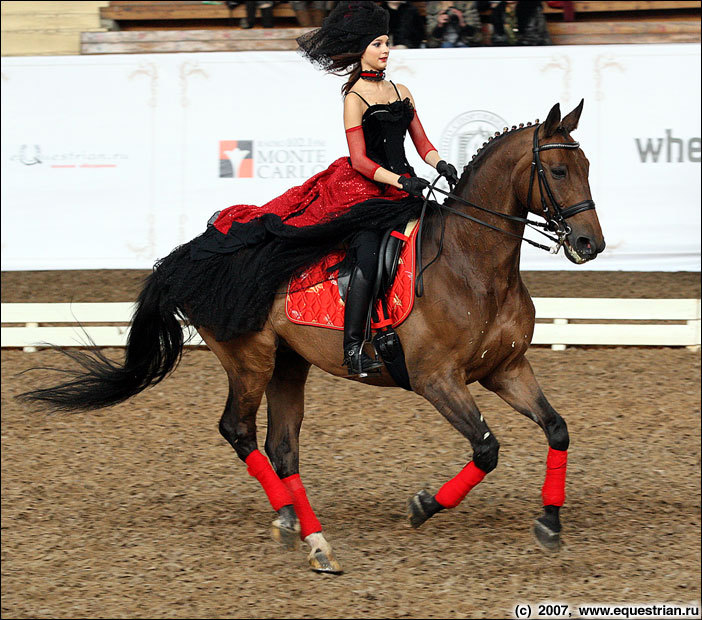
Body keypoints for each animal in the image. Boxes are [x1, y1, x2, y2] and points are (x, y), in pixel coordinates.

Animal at [20, 100, 604, 572]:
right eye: (557, 169)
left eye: (587, 167)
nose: (588, 243)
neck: (472, 264)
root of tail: (188, 255)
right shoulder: (436, 379)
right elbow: (486, 449)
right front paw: (422, 506)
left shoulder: (505, 369)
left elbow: (557, 429)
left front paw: (551, 523)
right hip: (250, 361)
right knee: (238, 430)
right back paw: (308, 532)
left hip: (288, 363)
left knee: (282, 447)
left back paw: (297, 525)